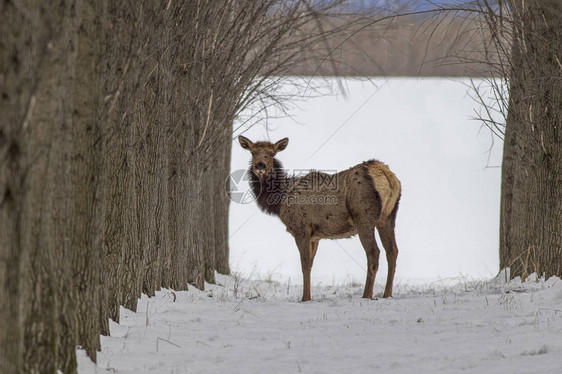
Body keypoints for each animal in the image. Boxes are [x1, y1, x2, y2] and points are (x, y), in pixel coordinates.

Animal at [236, 136, 398, 302]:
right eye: (253, 152)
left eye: (271, 153)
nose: (260, 165)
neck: (280, 201)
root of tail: (386, 175)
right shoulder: (315, 236)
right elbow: (311, 264)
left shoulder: (301, 227)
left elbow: (304, 265)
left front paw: (305, 298)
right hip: (388, 217)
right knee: (392, 251)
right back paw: (387, 294)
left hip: (363, 216)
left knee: (374, 252)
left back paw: (366, 296)